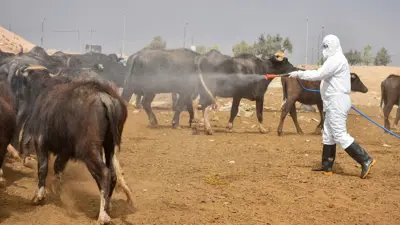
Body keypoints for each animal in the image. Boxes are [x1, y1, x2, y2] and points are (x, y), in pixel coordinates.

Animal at [14, 68, 134, 225]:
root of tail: (104, 96)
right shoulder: (65, 151)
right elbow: (58, 167)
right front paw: (57, 189)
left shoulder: (41, 142)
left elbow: (43, 168)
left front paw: (39, 196)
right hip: (110, 146)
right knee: (112, 174)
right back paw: (106, 208)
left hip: (88, 150)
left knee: (104, 173)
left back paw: (103, 216)